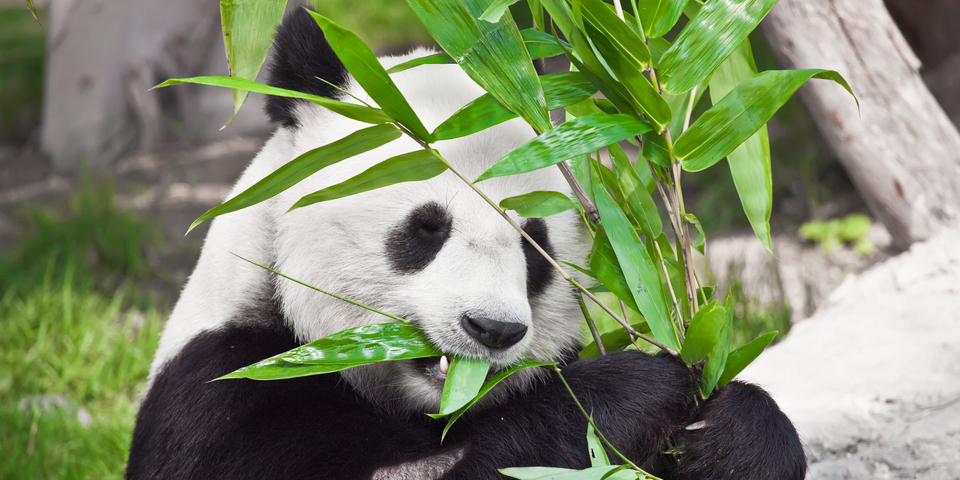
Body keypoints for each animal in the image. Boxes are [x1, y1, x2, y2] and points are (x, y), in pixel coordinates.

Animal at [125, 8, 804, 480]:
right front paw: (630, 391)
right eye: (425, 229)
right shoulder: (227, 391)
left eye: (535, 248)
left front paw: (734, 434)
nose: (493, 330)